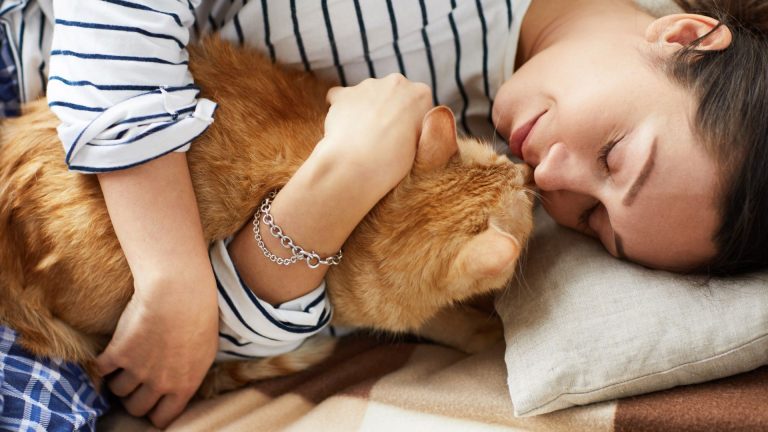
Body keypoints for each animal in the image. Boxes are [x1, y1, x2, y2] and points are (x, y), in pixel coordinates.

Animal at [0, 36, 532, 394]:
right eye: (526, 199)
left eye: (505, 163)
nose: (527, 170)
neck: (368, 220)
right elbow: (438, 322)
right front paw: (480, 330)